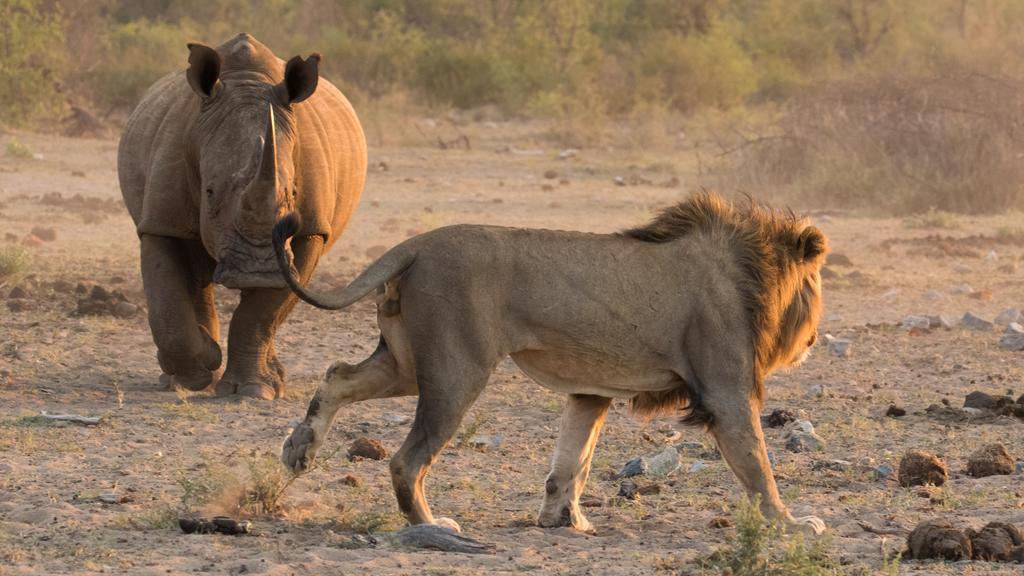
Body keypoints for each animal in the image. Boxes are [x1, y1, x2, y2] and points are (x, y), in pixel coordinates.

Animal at [276, 191, 827, 532]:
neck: (751, 269)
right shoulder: (725, 391)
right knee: (406, 460)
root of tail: (417, 242)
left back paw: (299, 449)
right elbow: (757, 463)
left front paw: (564, 520)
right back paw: (431, 525)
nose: (815, 338)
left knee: (337, 376)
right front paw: (790, 523)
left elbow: (572, 460)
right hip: (457, 371)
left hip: (407, 364)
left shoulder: (591, 392)